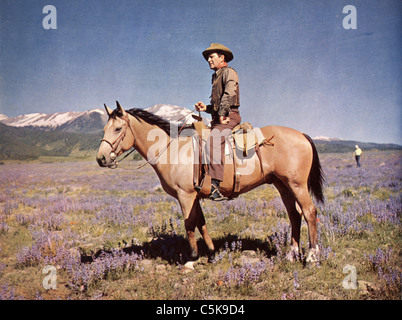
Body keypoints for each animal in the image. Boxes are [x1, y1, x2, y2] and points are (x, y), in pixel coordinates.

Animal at [96, 101, 324, 264]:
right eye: (105, 128)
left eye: (118, 129)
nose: (101, 159)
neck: (172, 151)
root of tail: (302, 135)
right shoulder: (195, 196)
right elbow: (201, 222)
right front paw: (212, 253)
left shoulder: (185, 195)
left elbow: (189, 224)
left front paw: (192, 258)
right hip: (282, 185)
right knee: (294, 215)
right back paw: (291, 254)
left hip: (297, 185)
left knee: (309, 212)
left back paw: (311, 256)